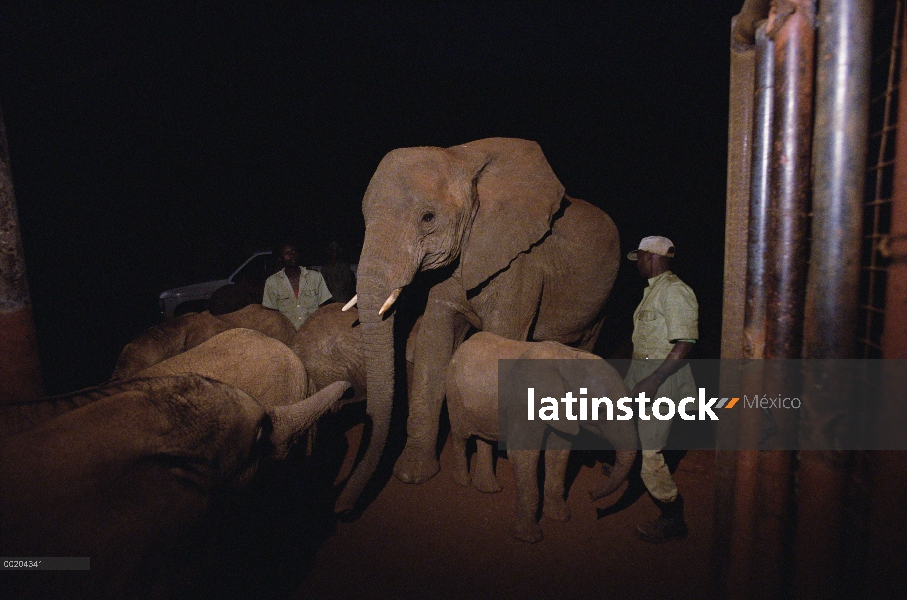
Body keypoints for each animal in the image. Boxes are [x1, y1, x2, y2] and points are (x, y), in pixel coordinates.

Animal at [336, 138, 620, 512]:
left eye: (428, 218)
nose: (341, 509)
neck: (460, 156)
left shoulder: (523, 265)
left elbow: (500, 339)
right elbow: (434, 344)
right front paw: (413, 475)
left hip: (603, 301)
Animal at [446, 332, 640, 544]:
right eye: (602, 410)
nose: (591, 496)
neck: (570, 359)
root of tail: (464, 344)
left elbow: (559, 452)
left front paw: (560, 518)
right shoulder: (523, 406)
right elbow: (524, 456)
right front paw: (530, 538)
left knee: (485, 438)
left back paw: (489, 489)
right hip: (453, 390)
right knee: (460, 436)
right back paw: (463, 482)